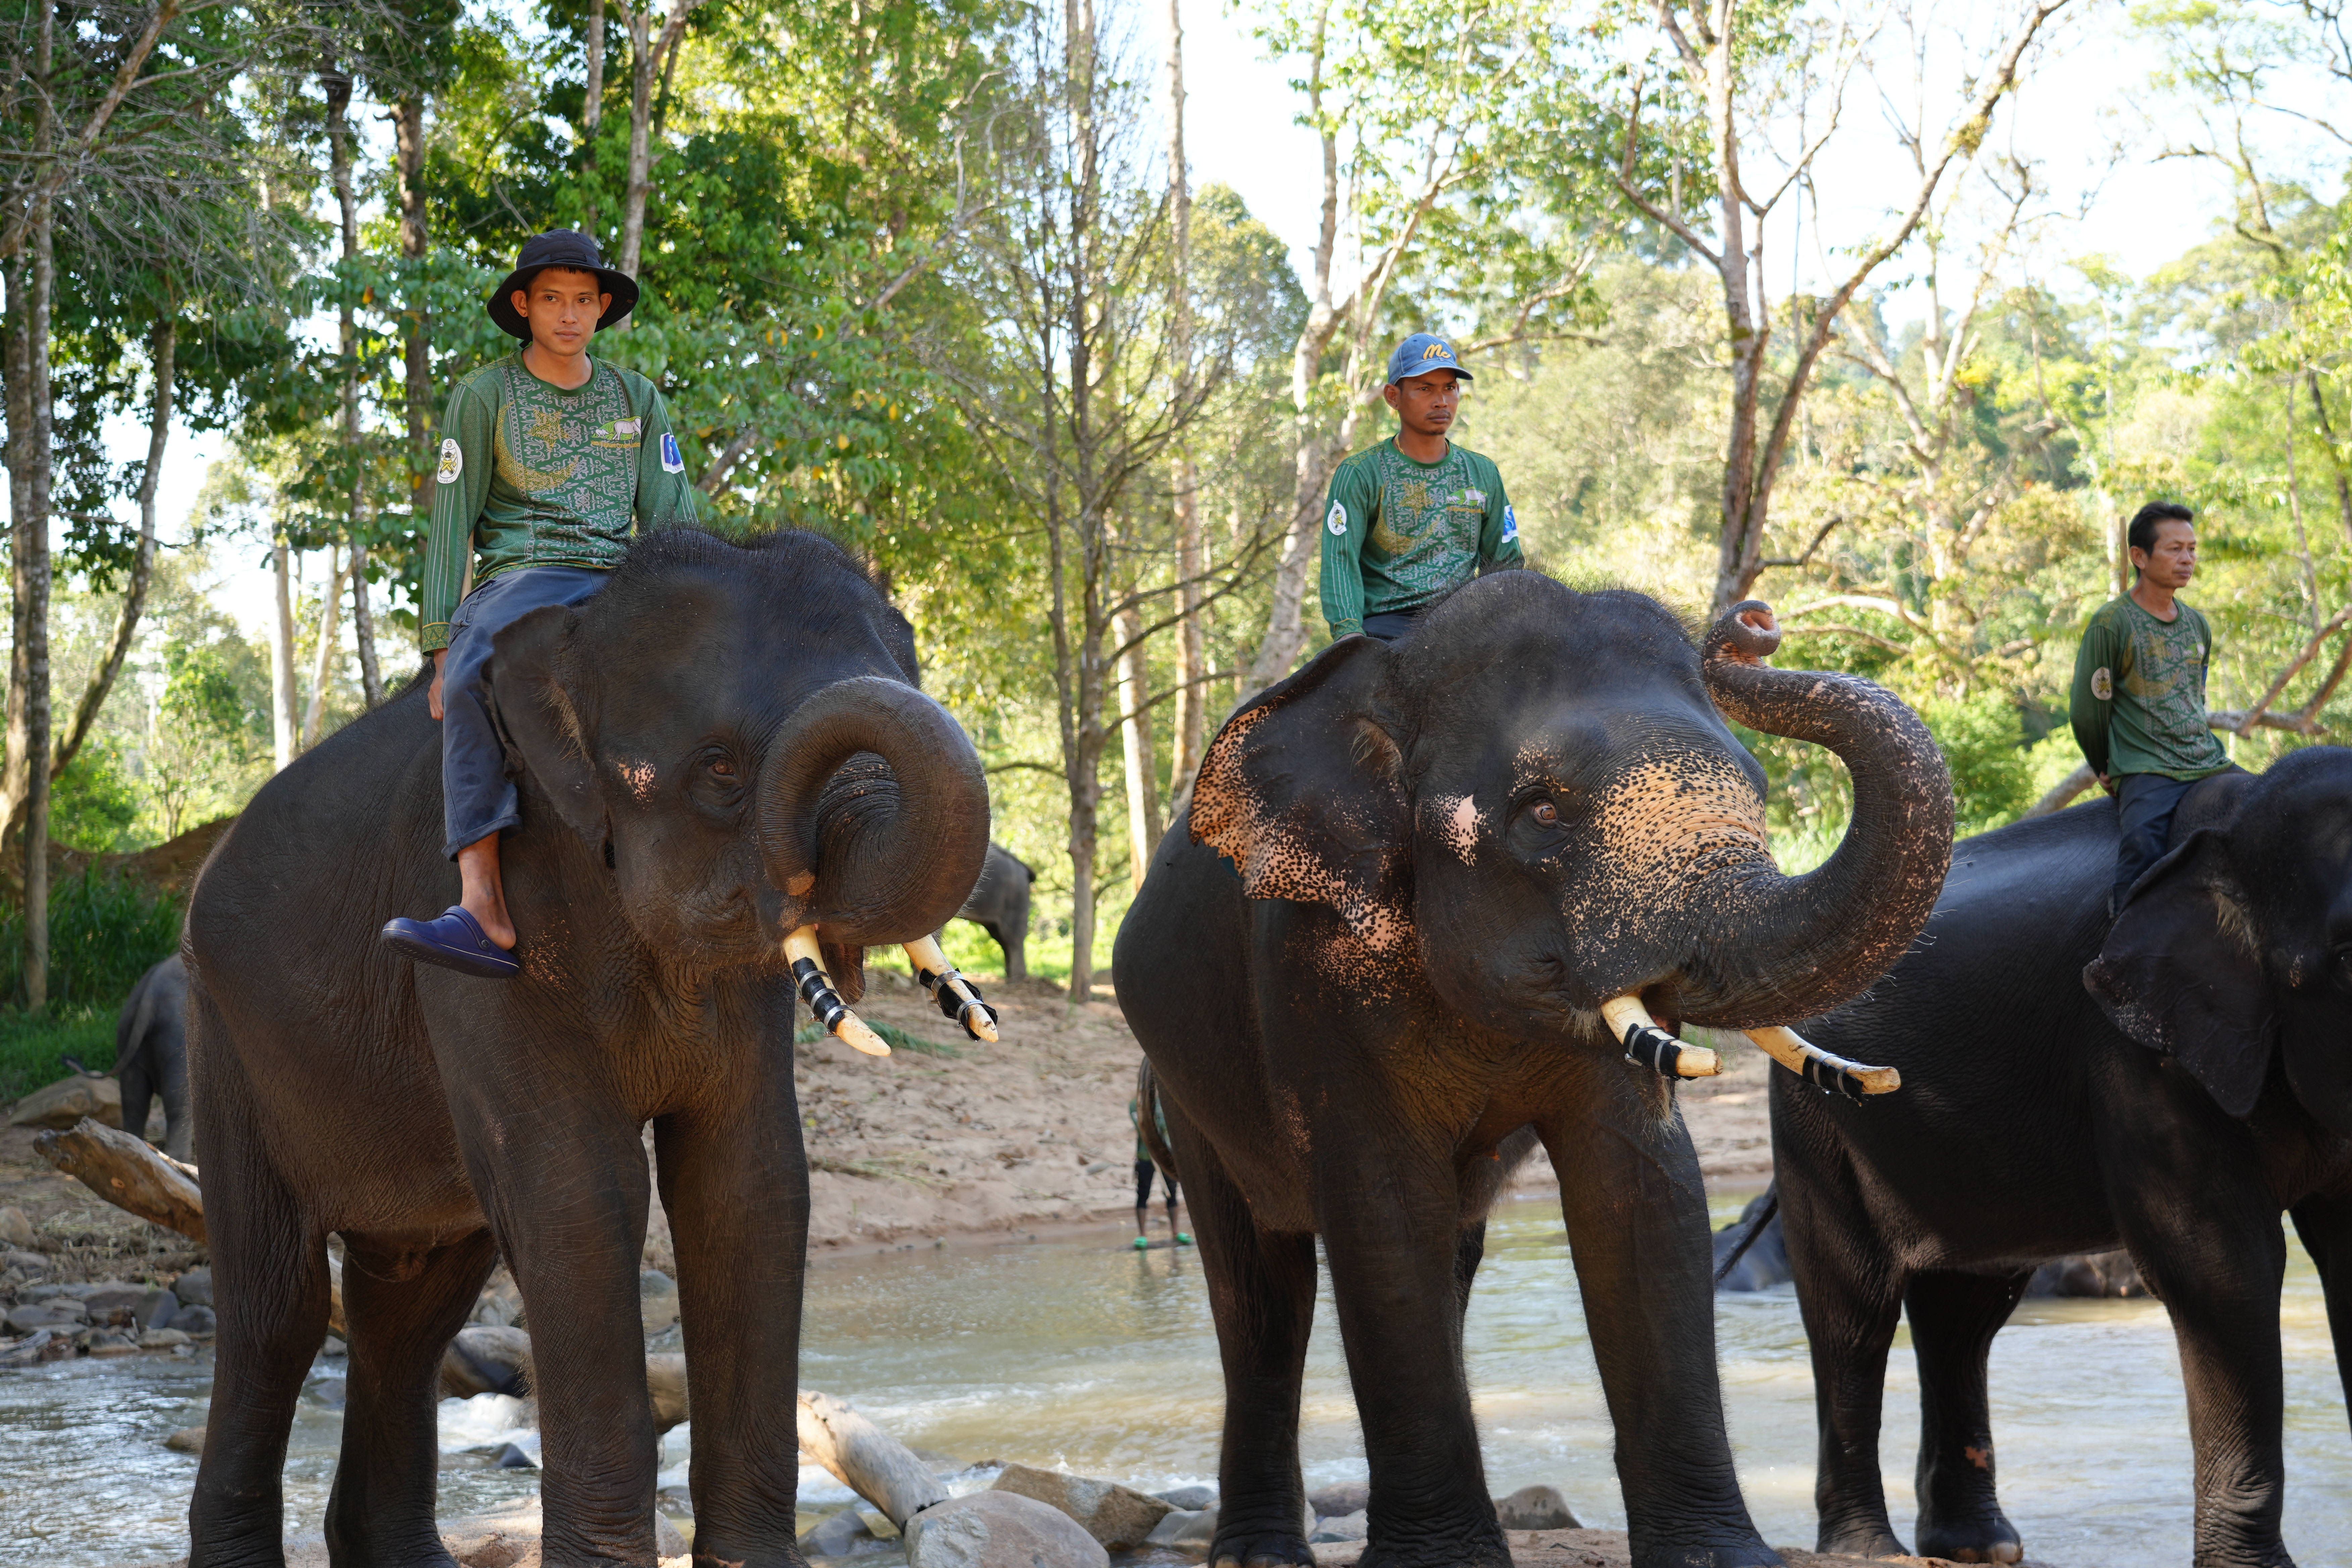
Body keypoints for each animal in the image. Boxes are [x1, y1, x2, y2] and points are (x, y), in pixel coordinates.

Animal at [180, 527, 990, 1566]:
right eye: (720, 770)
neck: (576, 632)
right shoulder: (486, 932)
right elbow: (581, 1193)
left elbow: (749, 1185)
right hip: (226, 1032)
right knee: (276, 1310)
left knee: (410, 1309)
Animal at [1112, 577, 1955, 1568]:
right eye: (1544, 811)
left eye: (1755, 786)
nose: (1750, 624)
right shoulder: (1309, 968)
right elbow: (1381, 1204)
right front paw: (1443, 1565)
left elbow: (1643, 1191)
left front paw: (1719, 1557)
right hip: (1186, 1084)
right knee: (1259, 1291)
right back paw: (1260, 1555)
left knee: (1446, 1252)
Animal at [1770, 749, 2352, 1567]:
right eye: (2350, 956)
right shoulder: (2132, 1051)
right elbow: (2221, 1265)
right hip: (1818, 1112)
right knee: (1852, 1308)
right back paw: (1870, 1552)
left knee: (1964, 1311)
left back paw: (1979, 1547)